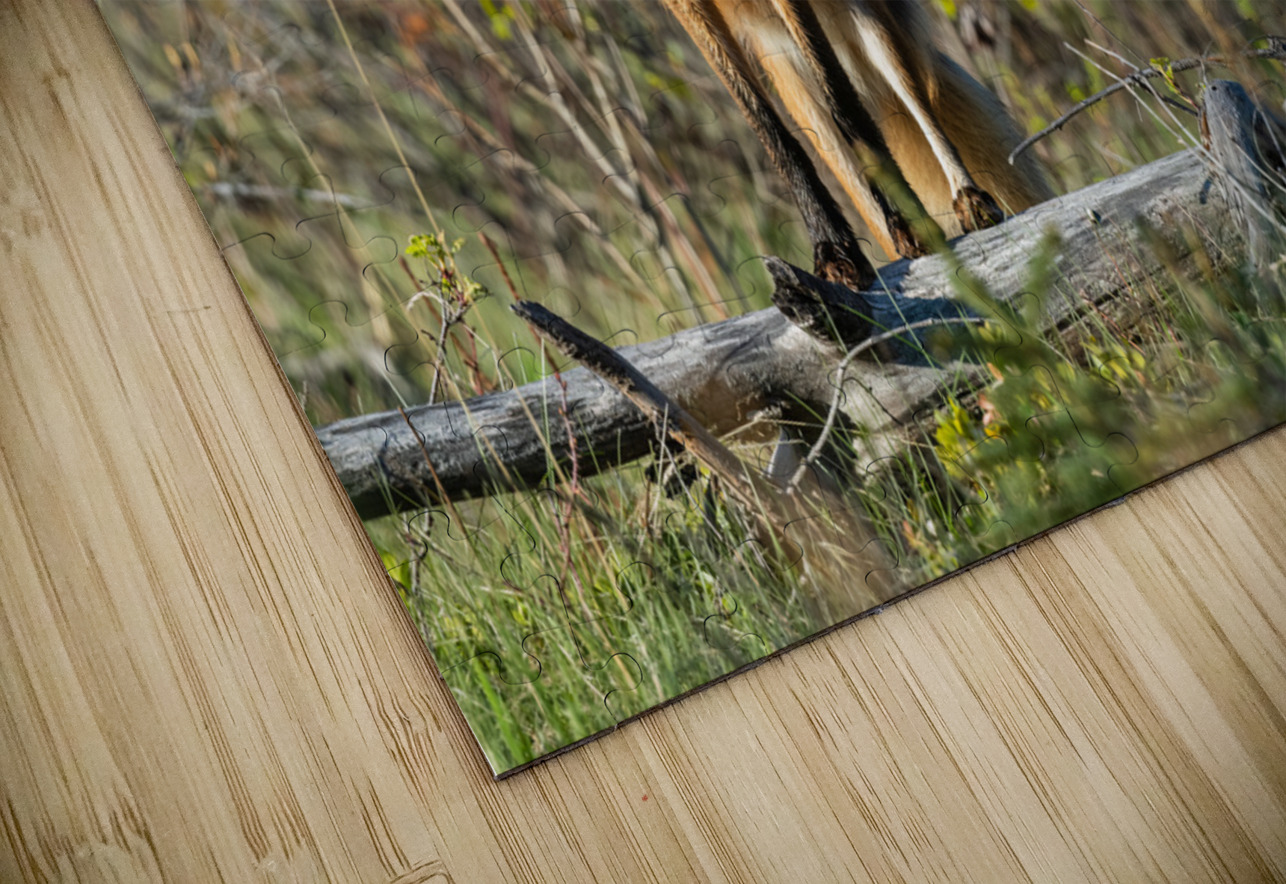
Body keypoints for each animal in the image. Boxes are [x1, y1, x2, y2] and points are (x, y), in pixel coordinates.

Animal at [663, 0, 1054, 289]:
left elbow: (845, 103)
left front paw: (908, 220)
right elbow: (771, 132)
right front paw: (833, 251)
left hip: (868, 23)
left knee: (914, 103)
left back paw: (968, 199)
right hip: (795, 86)